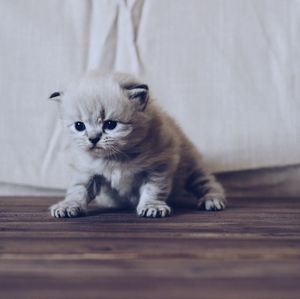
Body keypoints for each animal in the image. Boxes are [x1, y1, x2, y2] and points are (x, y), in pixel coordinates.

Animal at [48, 71, 225, 219]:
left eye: (110, 125)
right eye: (79, 126)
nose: (93, 138)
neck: (115, 158)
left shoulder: (159, 166)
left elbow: (153, 189)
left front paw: (152, 206)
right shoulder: (86, 171)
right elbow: (78, 190)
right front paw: (68, 206)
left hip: (192, 166)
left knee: (207, 182)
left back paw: (212, 200)